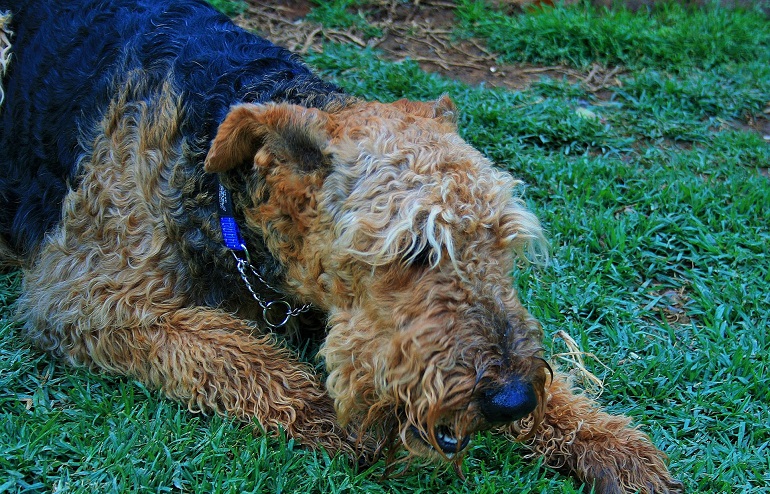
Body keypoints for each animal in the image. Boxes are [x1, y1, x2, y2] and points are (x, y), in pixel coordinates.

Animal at [0, 1, 680, 492]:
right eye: (415, 251)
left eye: (503, 241)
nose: (511, 401)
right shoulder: (88, 297)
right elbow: (251, 362)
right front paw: (356, 434)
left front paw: (611, 446)